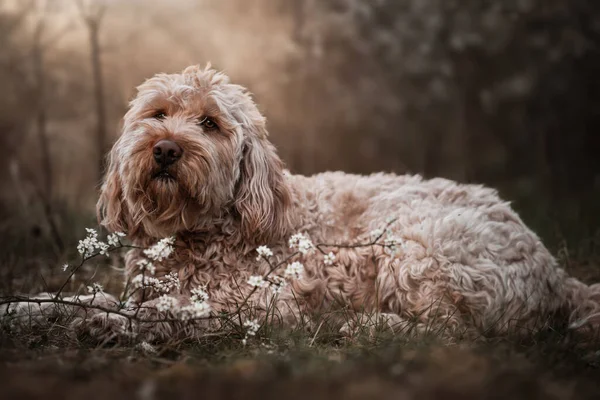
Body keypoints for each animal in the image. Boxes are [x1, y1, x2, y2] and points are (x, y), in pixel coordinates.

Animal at [89, 65, 600, 340]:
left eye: (210, 124)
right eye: (157, 114)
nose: (165, 149)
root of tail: (556, 274)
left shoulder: (267, 308)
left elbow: (175, 309)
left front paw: (116, 322)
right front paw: (84, 311)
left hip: (413, 242)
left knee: (453, 332)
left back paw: (370, 326)